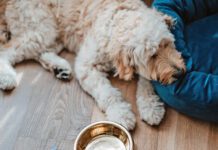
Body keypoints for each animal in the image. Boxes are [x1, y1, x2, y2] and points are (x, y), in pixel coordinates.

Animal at [0, 0, 186, 129]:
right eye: (152, 55)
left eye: (167, 44)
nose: (180, 72)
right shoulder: (86, 66)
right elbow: (107, 93)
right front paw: (121, 113)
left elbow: (147, 82)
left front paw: (150, 107)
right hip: (43, 29)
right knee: (7, 50)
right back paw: (7, 76)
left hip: (54, 33)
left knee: (39, 52)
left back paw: (59, 68)